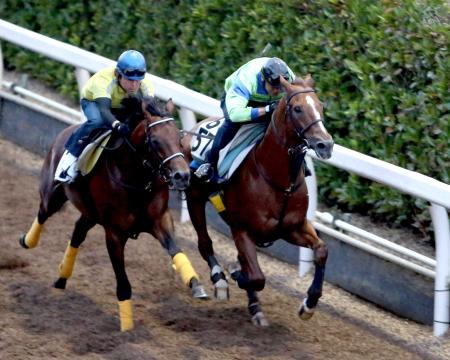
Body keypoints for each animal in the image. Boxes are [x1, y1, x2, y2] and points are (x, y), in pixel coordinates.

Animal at [20, 95, 209, 332]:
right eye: (155, 141)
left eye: (179, 138)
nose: (182, 176)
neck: (134, 180)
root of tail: (67, 131)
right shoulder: (114, 232)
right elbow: (123, 281)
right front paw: (127, 328)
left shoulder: (160, 219)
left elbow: (176, 250)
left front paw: (196, 284)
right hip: (53, 195)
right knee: (43, 213)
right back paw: (27, 241)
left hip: (90, 213)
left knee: (78, 232)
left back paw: (62, 277)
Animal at [182, 76, 334, 326]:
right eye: (297, 108)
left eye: (320, 105)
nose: (325, 144)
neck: (279, 181)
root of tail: (194, 129)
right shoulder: (242, 229)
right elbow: (256, 276)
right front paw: (235, 273)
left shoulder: (293, 227)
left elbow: (321, 250)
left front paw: (309, 304)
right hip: (194, 197)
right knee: (205, 243)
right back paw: (220, 280)